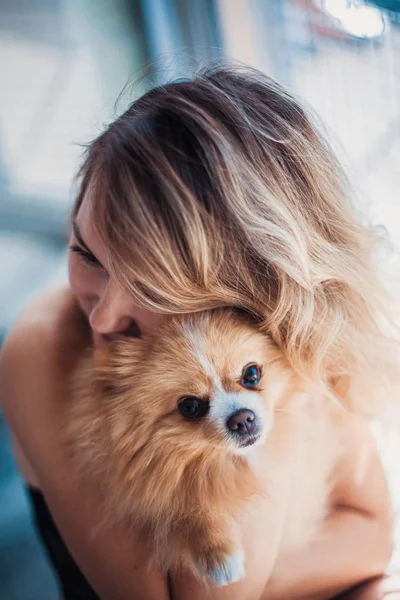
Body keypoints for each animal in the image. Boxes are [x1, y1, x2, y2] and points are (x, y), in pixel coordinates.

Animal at [66, 310, 344, 584]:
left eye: (252, 374)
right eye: (189, 406)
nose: (242, 419)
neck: (225, 461)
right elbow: (182, 510)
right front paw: (218, 554)